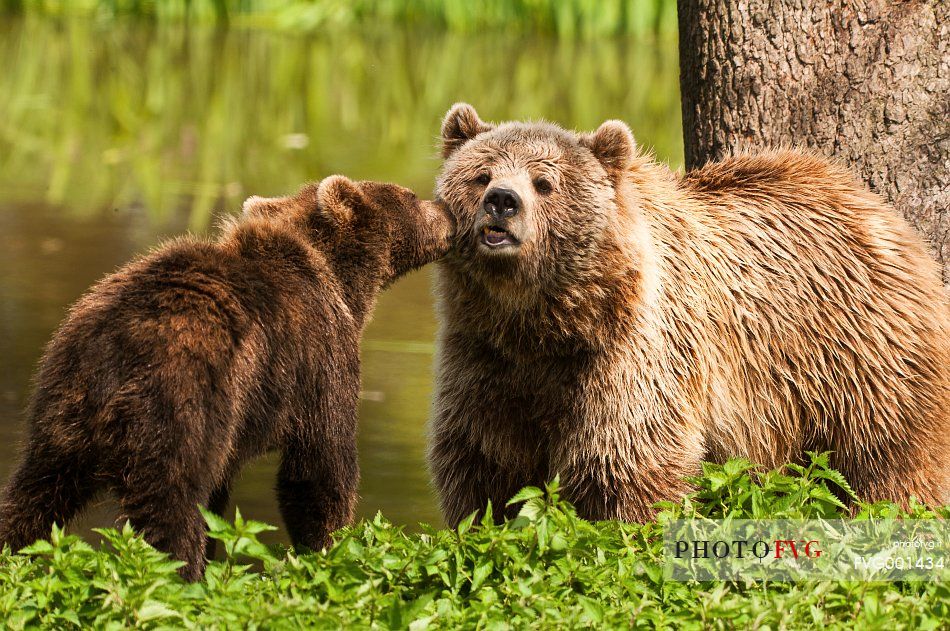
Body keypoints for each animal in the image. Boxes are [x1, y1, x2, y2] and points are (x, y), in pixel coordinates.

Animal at [0, 175, 454, 580]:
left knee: (35, 492)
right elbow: (319, 466)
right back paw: (180, 579)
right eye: (409, 196)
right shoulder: (320, 358)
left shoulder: (239, 421)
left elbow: (219, 497)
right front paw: (329, 549)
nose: (448, 212)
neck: (339, 279)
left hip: (63, 403)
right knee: (171, 509)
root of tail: (120, 345)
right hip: (179, 404)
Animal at [430, 103, 950, 524]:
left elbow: (629, 458)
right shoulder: (486, 354)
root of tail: (877, 209)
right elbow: (483, 456)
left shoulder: (633, 353)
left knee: (893, 449)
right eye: (481, 175)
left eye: (545, 183)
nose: (502, 201)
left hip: (862, 349)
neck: (547, 319)